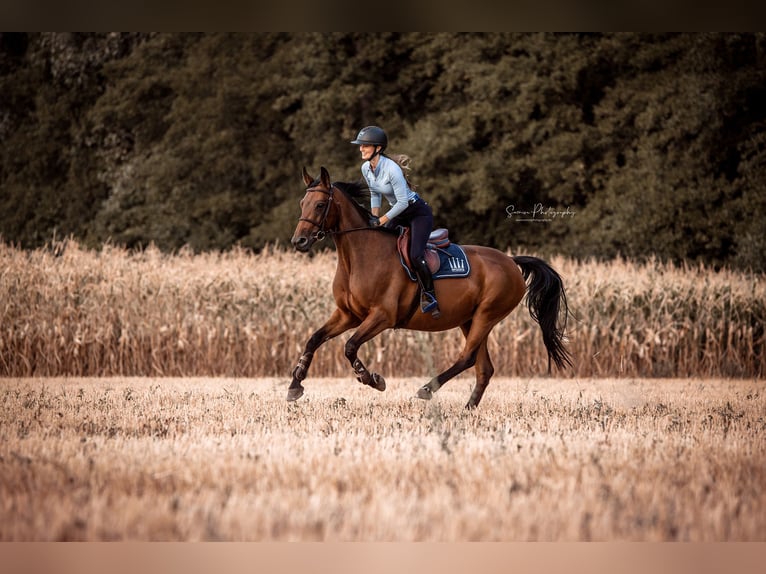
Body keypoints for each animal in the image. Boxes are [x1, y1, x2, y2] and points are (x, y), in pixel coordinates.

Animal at [286, 166, 568, 410]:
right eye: (301, 204)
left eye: (320, 205)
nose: (299, 241)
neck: (358, 258)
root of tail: (511, 261)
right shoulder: (348, 315)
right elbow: (314, 339)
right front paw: (295, 384)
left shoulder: (382, 316)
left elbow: (350, 346)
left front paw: (372, 379)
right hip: (470, 319)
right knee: (484, 368)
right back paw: (468, 408)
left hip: (487, 315)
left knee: (467, 357)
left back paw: (428, 389)